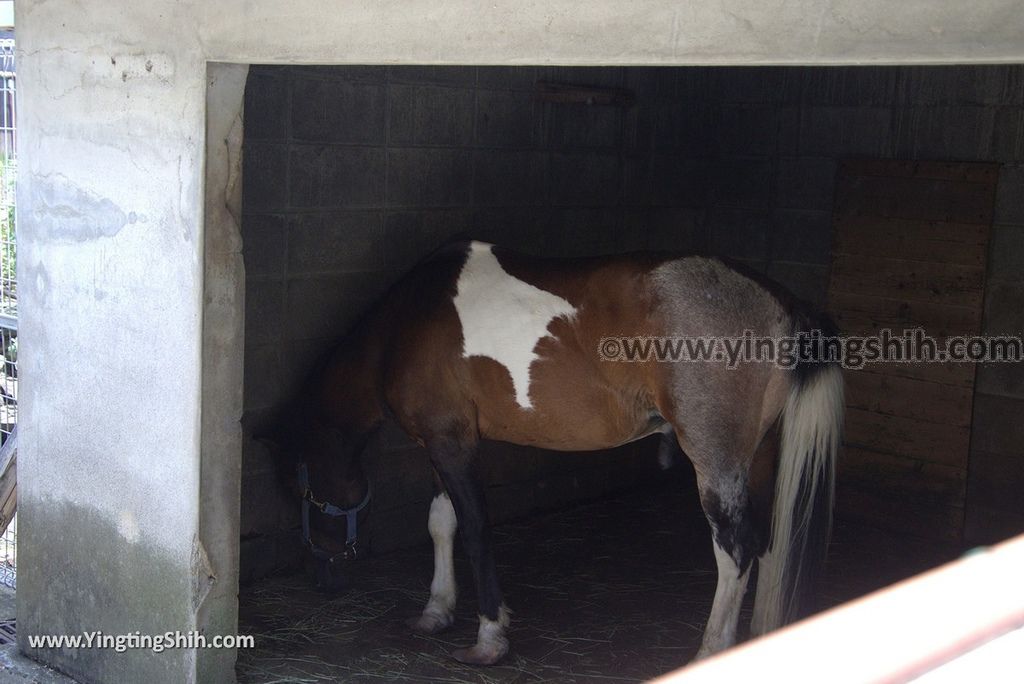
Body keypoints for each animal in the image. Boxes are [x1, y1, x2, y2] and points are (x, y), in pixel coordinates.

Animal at [262, 239, 839, 663]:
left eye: (299, 489)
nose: (323, 578)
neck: (404, 324)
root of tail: (781, 303)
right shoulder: (443, 446)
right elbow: (440, 524)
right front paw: (436, 611)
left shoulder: (452, 445)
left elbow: (474, 531)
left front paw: (489, 636)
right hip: (757, 458)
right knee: (765, 543)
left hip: (717, 464)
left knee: (735, 551)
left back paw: (710, 653)